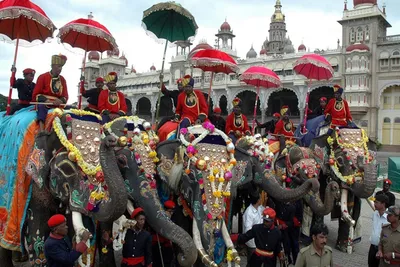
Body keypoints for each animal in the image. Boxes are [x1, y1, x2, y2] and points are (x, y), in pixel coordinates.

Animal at [0, 109, 126, 267]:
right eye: (67, 168)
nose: (111, 140)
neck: (48, 129)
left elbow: (70, 231)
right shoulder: (33, 184)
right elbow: (37, 231)